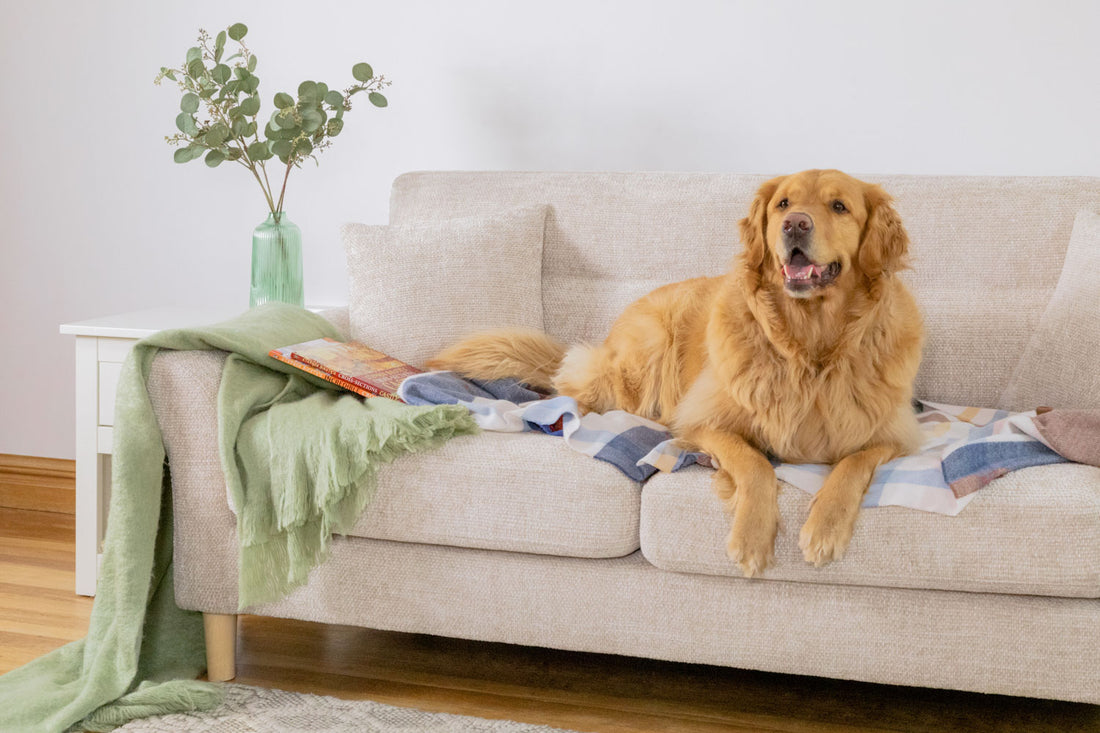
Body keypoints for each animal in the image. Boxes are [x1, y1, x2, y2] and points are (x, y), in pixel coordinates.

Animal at [424, 168, 924, 572]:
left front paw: (824, 528)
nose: (795, 224)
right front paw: (751, 536)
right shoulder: (703, 421)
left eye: (839, 206)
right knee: (571, 389)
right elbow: (755, 464)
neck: (810, 346)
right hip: (643, 355)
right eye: (783, 203)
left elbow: (853, 464)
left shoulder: (895, 434)